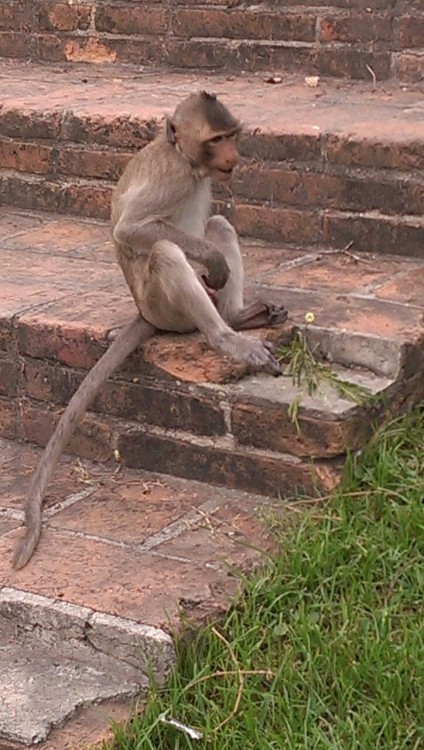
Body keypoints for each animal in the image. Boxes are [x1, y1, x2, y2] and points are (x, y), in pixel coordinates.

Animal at [13, 89, 286, 568]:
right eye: (216, 139)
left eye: (232, 136)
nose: (234, 156)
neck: (189, 164)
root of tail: (145, 314)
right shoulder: (172, 178)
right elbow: (133, 229)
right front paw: (210, 260)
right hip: (164, 306)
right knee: (165, 251)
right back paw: (226, 337)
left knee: (218, 225)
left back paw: (236, 317)